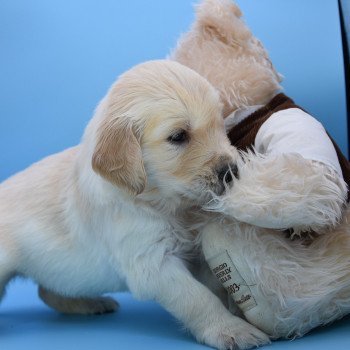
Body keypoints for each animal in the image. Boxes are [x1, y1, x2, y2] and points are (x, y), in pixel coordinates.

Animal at [0, 60, 270, 350]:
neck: (163, 203)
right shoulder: (152, 262)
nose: (232, 171)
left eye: (220, 125)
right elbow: (198, 298)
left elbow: (217, 285)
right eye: (178, 136)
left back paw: (88, 303)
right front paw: (231, 329)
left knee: (47, 291)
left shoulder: (196, 250)